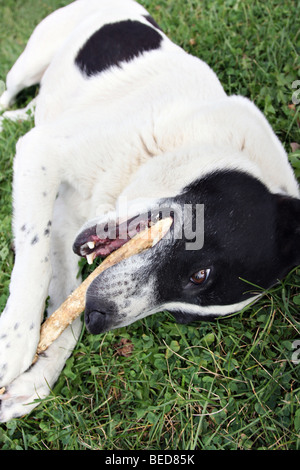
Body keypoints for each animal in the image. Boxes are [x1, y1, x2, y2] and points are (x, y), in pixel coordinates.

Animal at [0, 0, 300, 420]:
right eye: (200, 275)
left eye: (180, 315)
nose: (98, 319)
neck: (179, 143)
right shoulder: (39, 153)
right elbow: (34, 261)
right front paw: (15, 343)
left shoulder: (64, 227)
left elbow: (65, 312)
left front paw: (35, 383)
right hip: (30, 62)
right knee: (9, 90)